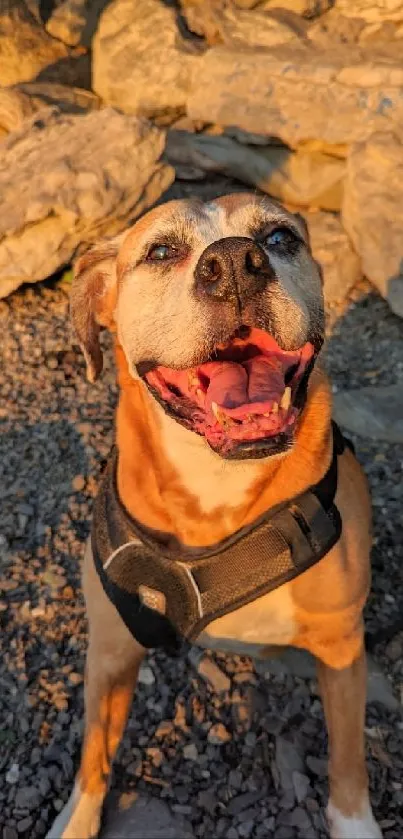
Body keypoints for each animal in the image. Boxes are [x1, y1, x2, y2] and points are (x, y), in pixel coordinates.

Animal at [46, 195, 382, 839]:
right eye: (161, 251)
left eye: (279, 238)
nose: (233, 264)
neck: (217, 484)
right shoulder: (110, 648)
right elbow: (94, 753)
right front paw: (75, 821)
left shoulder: (341, 646)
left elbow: (350, 760)